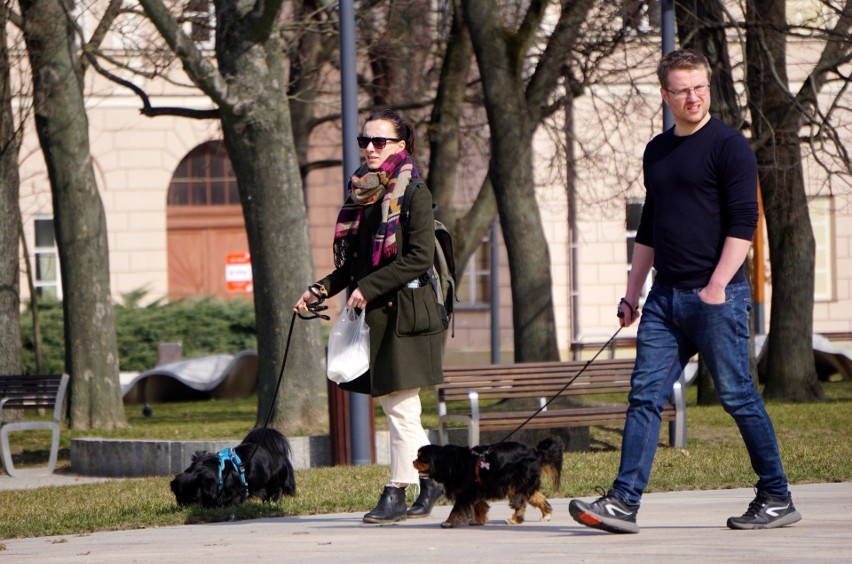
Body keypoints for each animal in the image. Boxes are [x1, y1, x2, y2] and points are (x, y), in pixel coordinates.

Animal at [414, 438, 564, 528]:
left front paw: (448, 522)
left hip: (515, 484)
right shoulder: (477, 489)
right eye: (418, 457)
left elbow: (456, 509)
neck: (451, 462)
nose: (413, 461)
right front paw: (479, 521)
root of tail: (535, 453)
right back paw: (546, 515)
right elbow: (479, 505)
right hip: (522, 483)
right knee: (536, 496)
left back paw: (515, 519)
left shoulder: (467, 492)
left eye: (422, 459)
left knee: (521, 502)